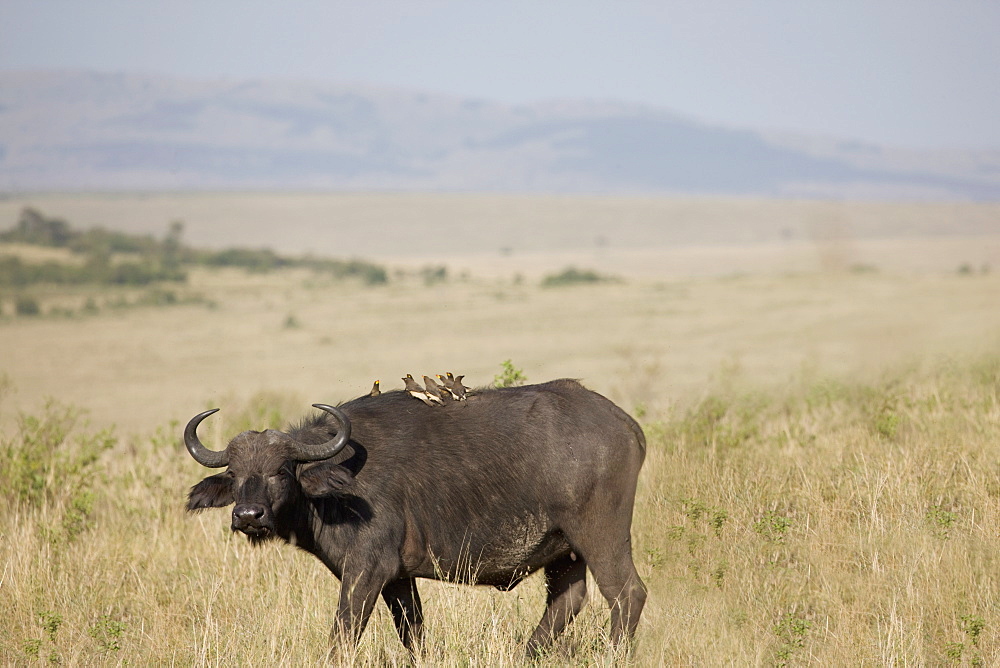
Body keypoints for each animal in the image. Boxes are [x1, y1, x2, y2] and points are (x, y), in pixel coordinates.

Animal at [183, 380, 644, 656]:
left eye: (281, 471)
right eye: (235, 475)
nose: (248, 515)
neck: (336, 485)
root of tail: (627, 425)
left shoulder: (365, 571)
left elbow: (343, 634)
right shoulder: (398, 579)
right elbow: (413, 632)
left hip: (600, 536)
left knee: (627, 594)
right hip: (565, 552)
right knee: (568, 600)